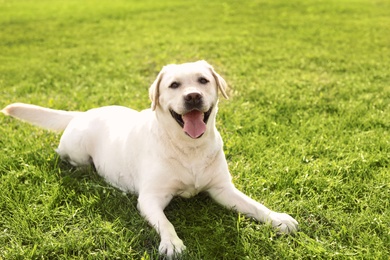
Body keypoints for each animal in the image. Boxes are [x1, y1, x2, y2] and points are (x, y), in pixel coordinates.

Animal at [2, 61, 298, 258]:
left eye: (203, 80)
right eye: (174, 85)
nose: (193, 96)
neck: (189, 147)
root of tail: (82, 113)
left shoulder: (222, 189)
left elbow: (255, 205)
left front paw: (278, 218)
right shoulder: (150, 198)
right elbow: (165, 222)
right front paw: (172, 243)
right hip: (77, 152)